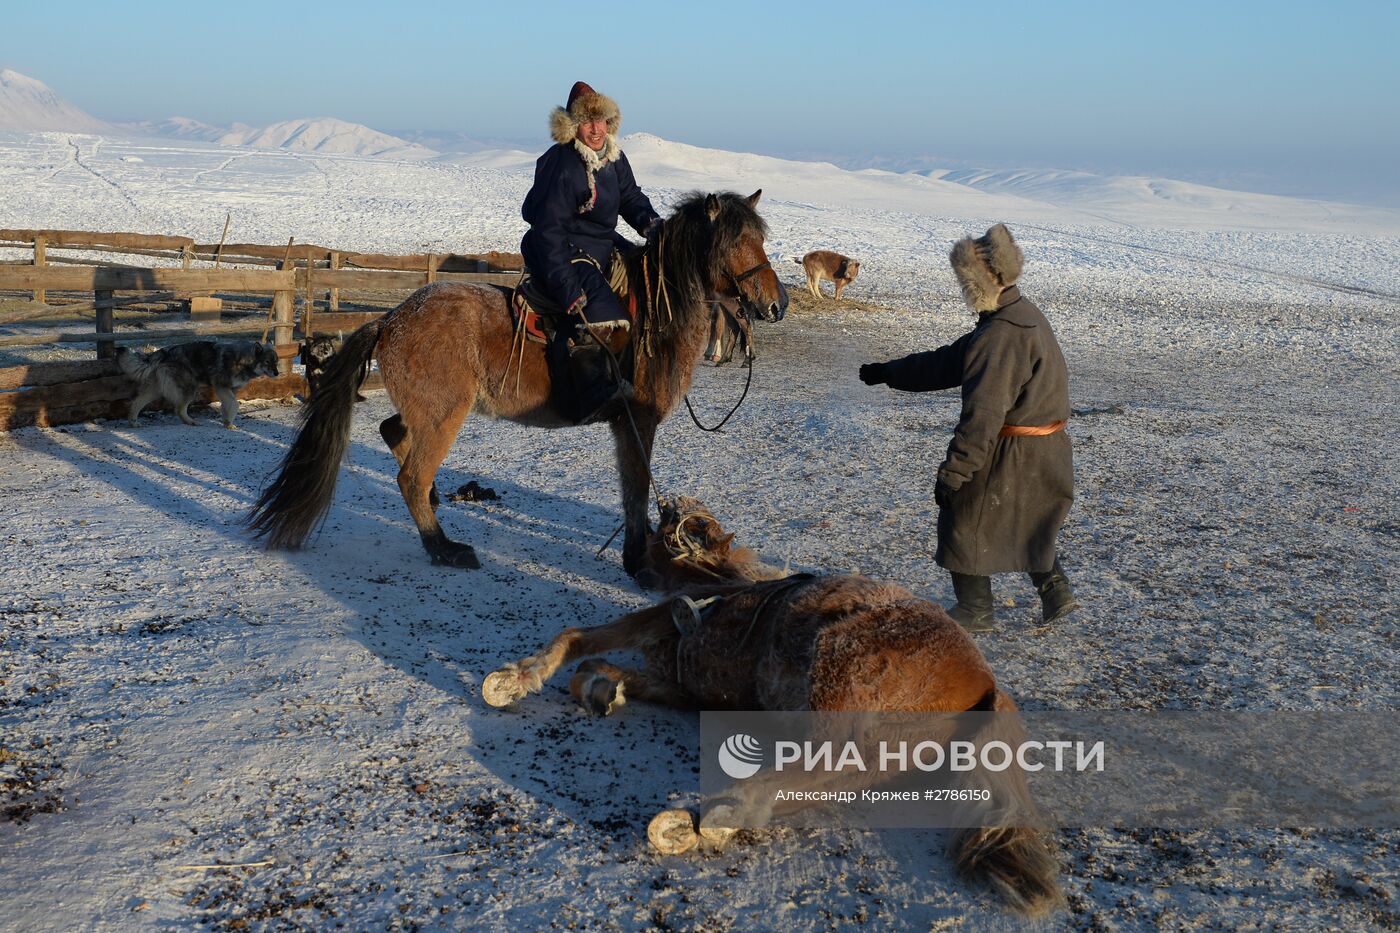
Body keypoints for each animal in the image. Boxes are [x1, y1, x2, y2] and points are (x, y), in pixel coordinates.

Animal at [117, 337, 278, 425]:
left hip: (156, 390)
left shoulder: (230, 390)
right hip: (190, 389)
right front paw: (229, 422)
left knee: (137, 402)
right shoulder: (222, 387)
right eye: (267, 362)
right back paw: (191, 422)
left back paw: (133, 422)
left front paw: (227, 422)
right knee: (179, 409)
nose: (277, 373)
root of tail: (164, 351)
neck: (242, 360)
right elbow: (235, 405)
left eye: (276, 361)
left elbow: (227, 406)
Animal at [245, 190, 784, 571]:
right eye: (737, 242)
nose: (776, 304)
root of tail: (391, 319)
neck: (653, 315)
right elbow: (635, 486)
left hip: (428, 410)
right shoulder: (636, 420)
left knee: (393, 433)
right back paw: (444, 547)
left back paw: (437, 503)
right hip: (444, 415)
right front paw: (636, 558)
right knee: (410, 476)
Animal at [481, 498, 1058, 913]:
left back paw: (699, 819)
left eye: (653, 534)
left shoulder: (667, 620)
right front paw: (602, 690)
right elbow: (596, 668)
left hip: (841, 676)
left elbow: (580, 638)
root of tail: (986, 683)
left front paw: (517, 679)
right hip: (882, 752)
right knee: (815, 780)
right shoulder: (684, 688)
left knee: (818, 764)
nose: (626, 557)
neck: (724, 588)